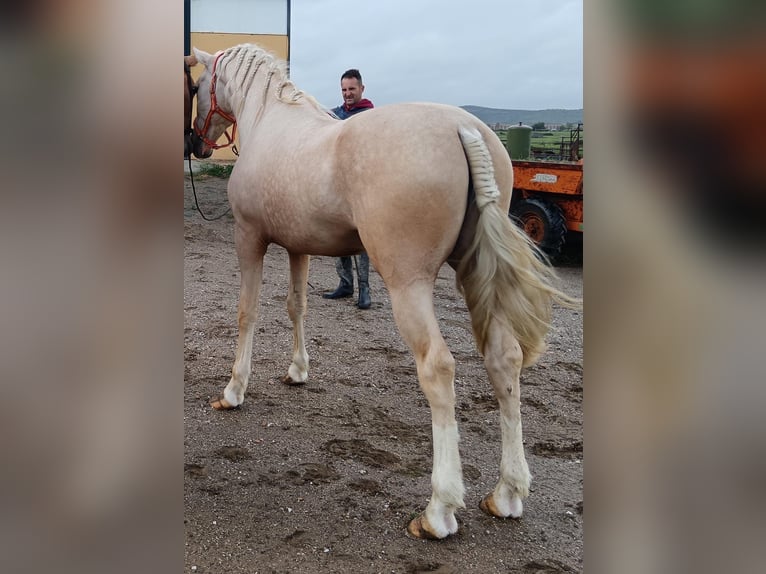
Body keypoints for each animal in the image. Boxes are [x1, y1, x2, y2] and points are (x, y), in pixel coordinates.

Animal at [195, 42, 580, 544]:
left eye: (199, 85)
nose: (196, 144)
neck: (271, 121)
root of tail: (465, 128)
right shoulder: (298, 246)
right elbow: (296, 307)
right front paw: (297, 370)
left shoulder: (249, 239)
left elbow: (248, 312)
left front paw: (233, 390)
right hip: (476, 273)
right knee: (505, 360)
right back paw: (507, 493)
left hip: (407, 284)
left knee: (438, 368)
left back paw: (439, 510)